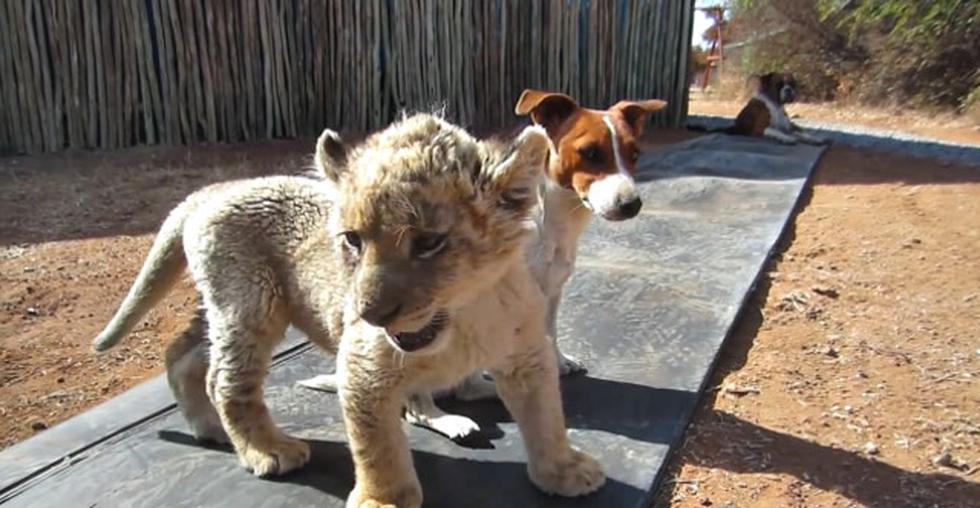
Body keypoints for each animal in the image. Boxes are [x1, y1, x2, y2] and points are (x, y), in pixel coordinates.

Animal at [92, 113, 605, 507]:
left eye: (429, 243)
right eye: (353, 240)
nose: (370, 314)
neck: (462, 320)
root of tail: (213, 189)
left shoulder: (526, 356)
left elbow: (546, 416)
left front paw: (564, 470)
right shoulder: (363, 367)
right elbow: (377, 447)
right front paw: (383, 500)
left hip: (226, 307)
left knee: (182, 355)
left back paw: (209, 429)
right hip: (250, 303)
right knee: (225, 379)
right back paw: (269, 451)